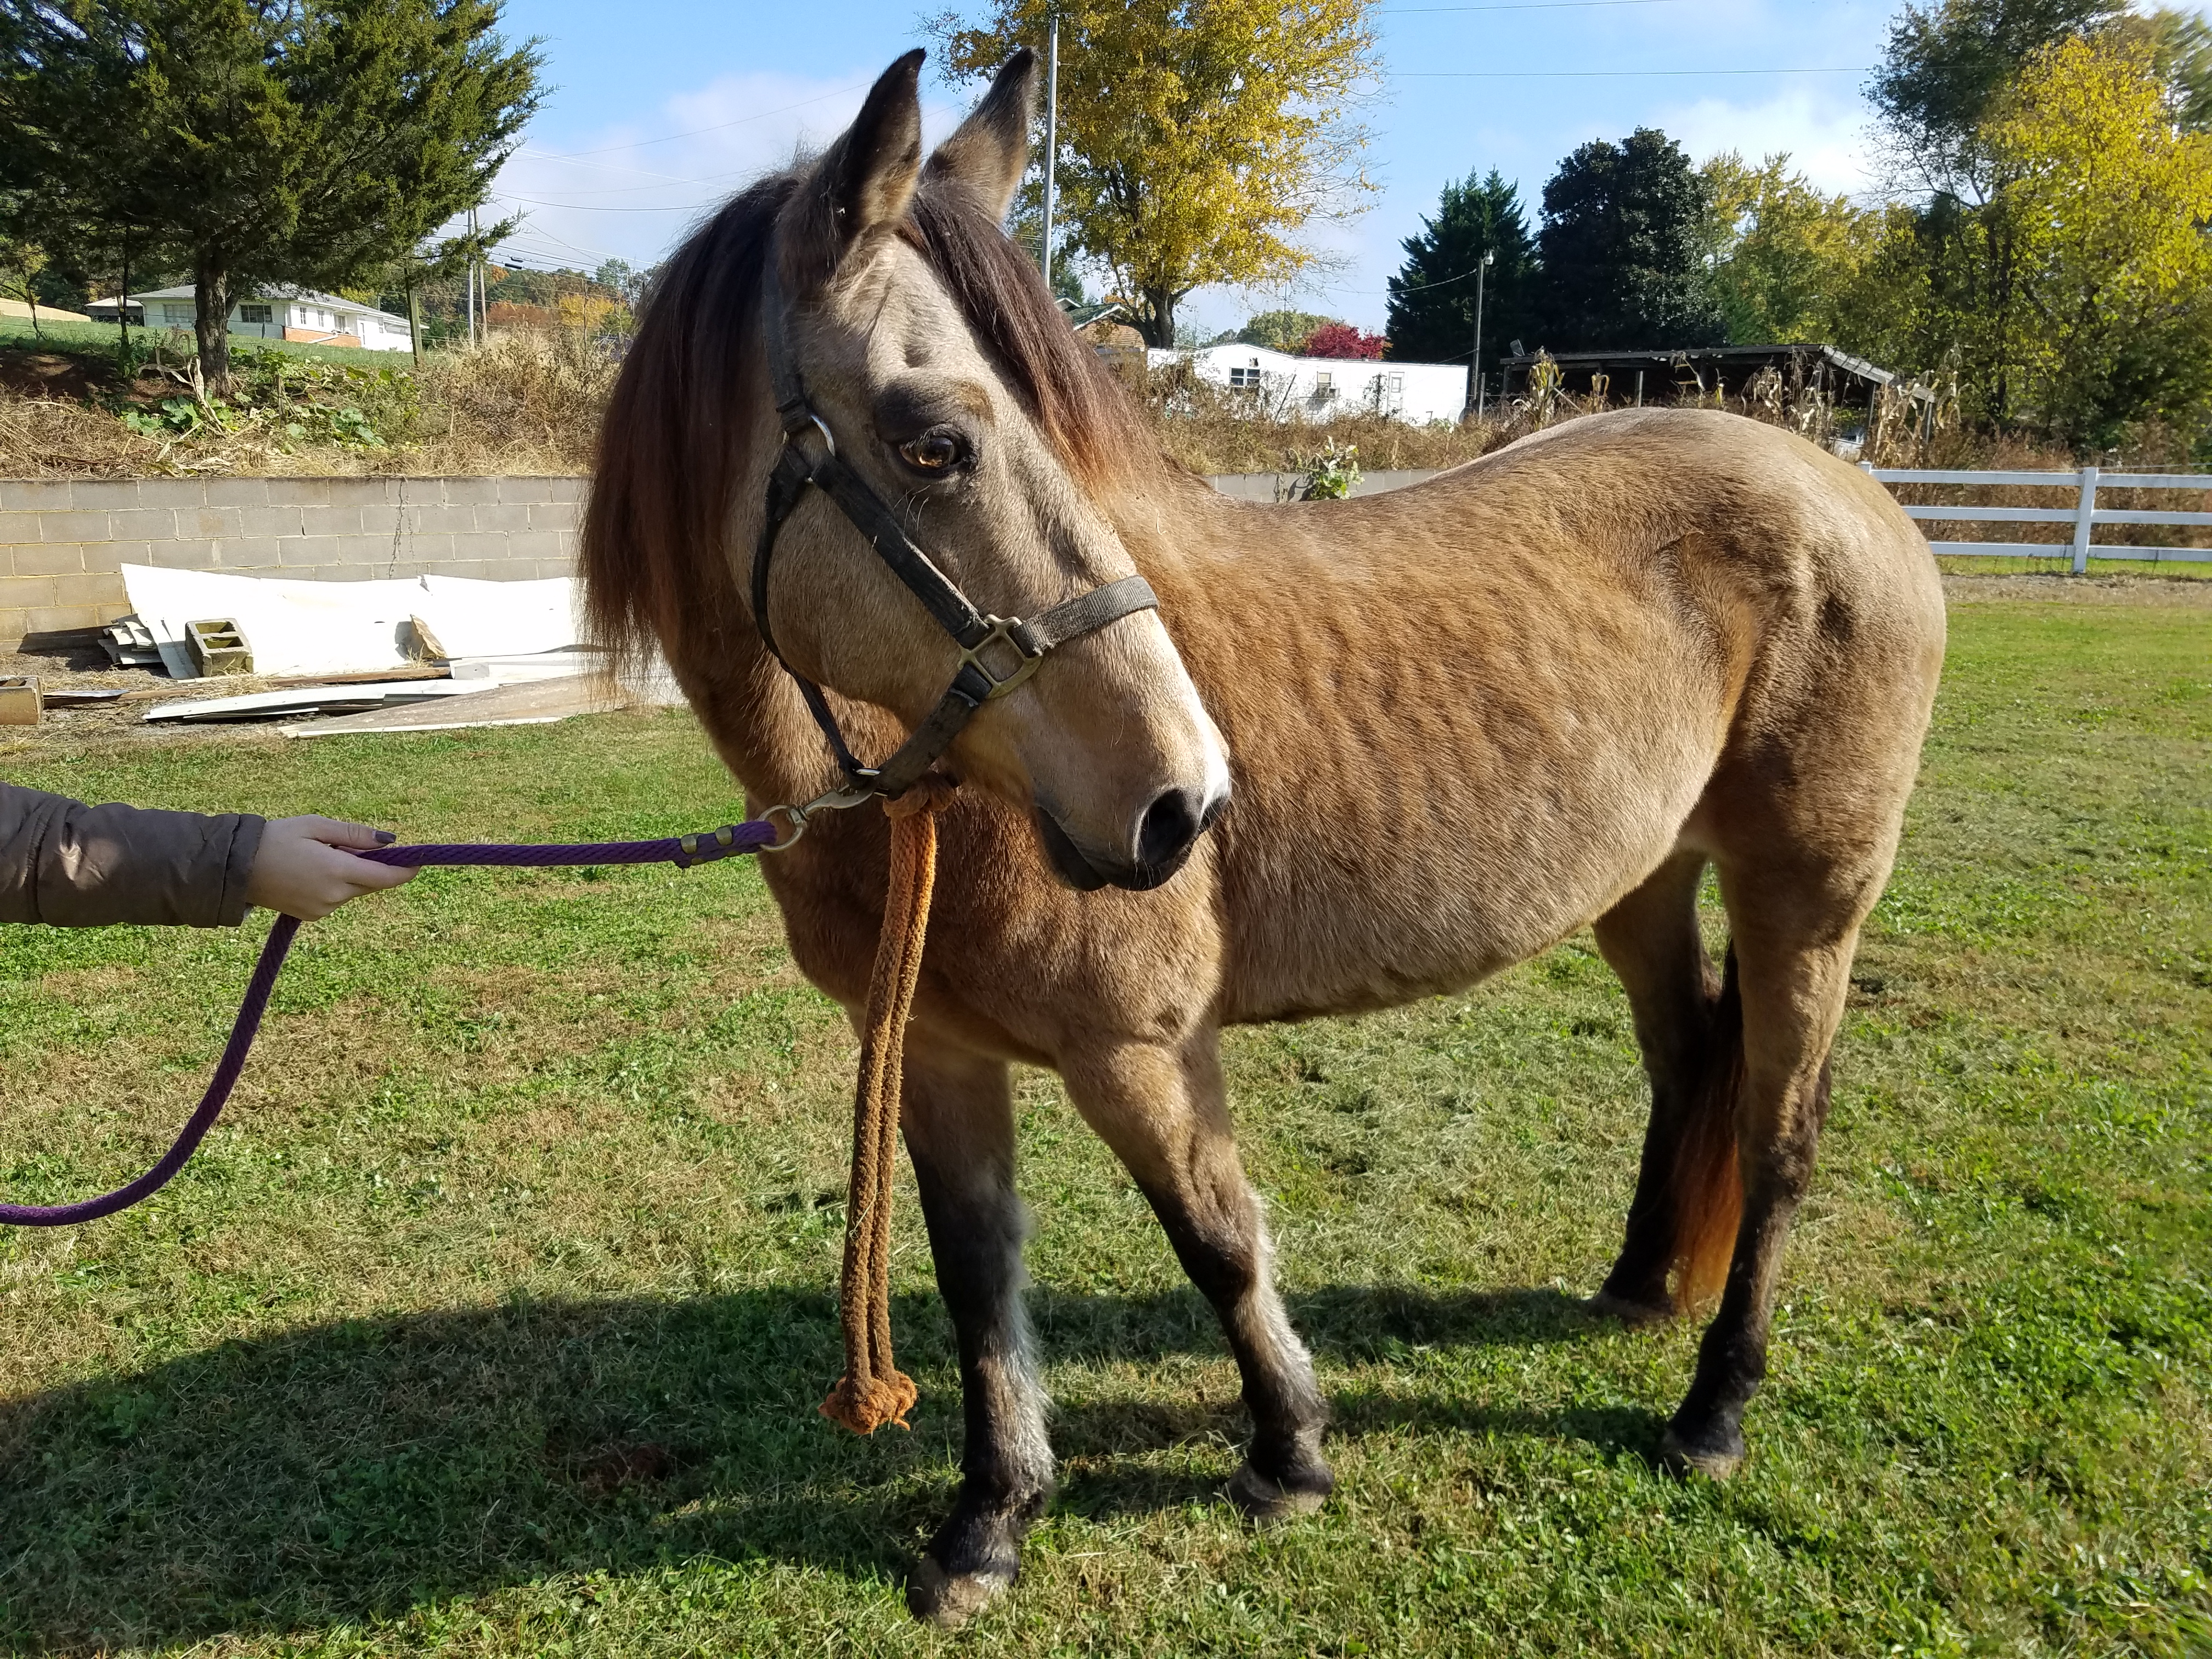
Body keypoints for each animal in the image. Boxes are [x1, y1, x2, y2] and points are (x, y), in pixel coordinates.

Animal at [582, 47, 1946, 1628]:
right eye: (935, 444)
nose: (1182, 802)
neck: (946, 812)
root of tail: (1852, 490)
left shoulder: (1143, 1047)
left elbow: (1219, 1238)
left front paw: (1287, 1451)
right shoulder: (931, 1048)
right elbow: (979, 1276)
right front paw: (991, 1519)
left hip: (1809, 897)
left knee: (1782, 1133)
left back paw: (1713, 1410)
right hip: (1645, 883)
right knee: (1688, 1066)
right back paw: (1635, 1287)